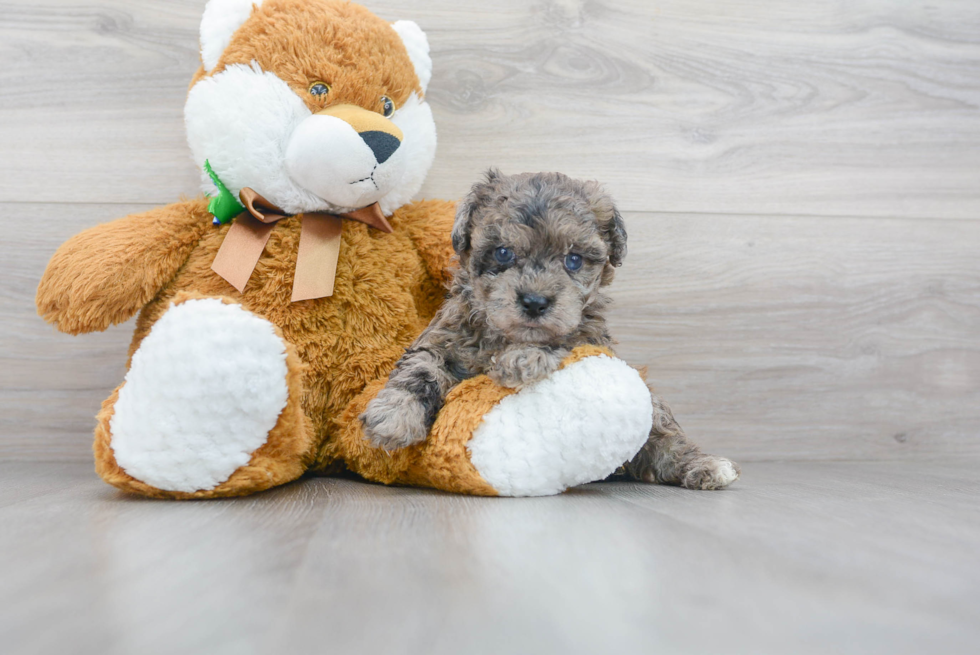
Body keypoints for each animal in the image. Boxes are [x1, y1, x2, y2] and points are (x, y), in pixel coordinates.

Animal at [364, 172, 740, 490]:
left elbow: (563, 342)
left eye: (573, 260)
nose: (534, 302)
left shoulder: (591, 340)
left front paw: (524, 359)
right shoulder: (442, 338)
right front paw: (393, 416)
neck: (506, 337)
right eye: (503, 252)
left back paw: (705, 466)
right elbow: (419, 369)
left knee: (663, 439)